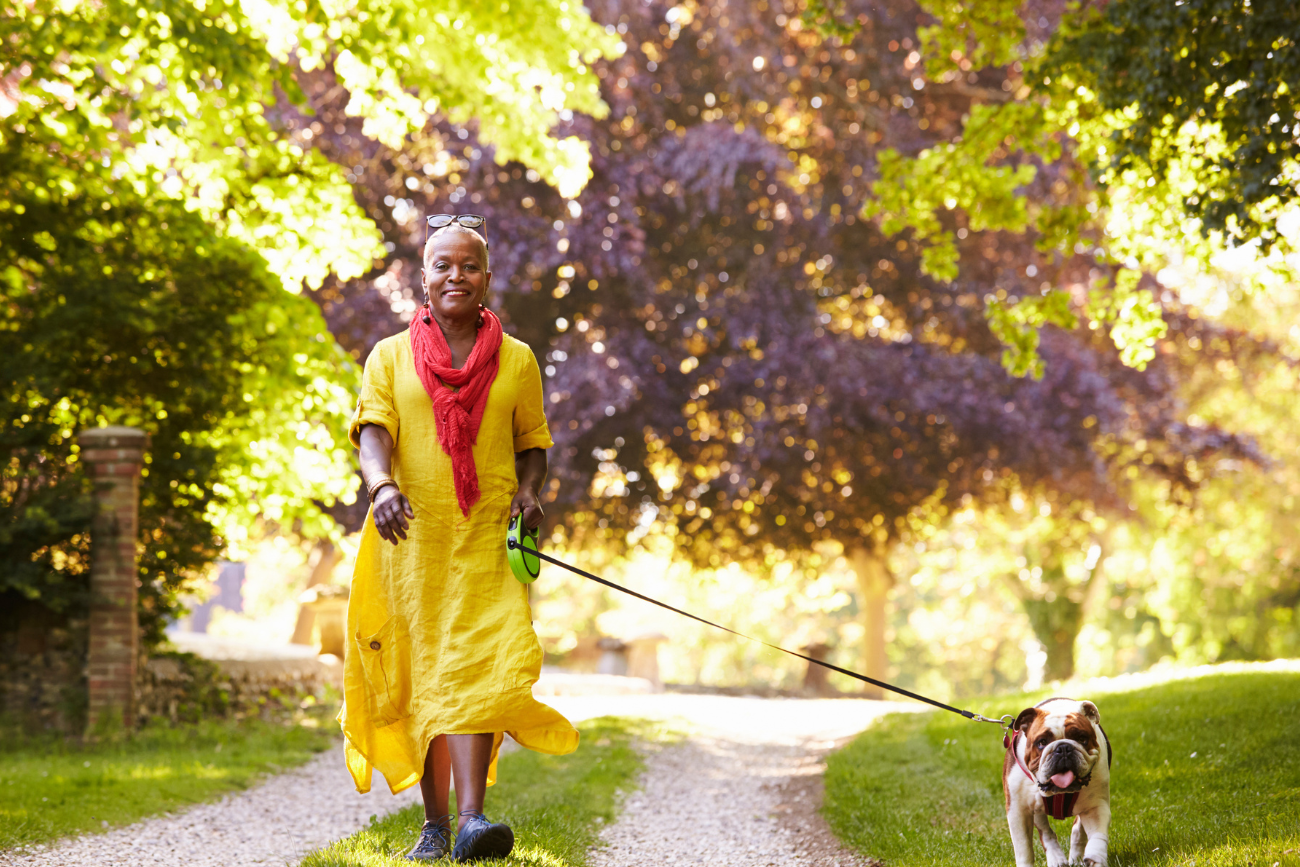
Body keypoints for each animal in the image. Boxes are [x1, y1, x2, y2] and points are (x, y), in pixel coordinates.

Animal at [1003, 696, 1107, 867]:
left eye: (1082, 739)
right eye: (1042, 742)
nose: (1063, 748)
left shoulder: (1095, 806)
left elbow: (1097, 836)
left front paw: (1095, 858)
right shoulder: (1018, 811)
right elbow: (1024, 849)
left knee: (1077, 830)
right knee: (1046, 832)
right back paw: (1057, 858)